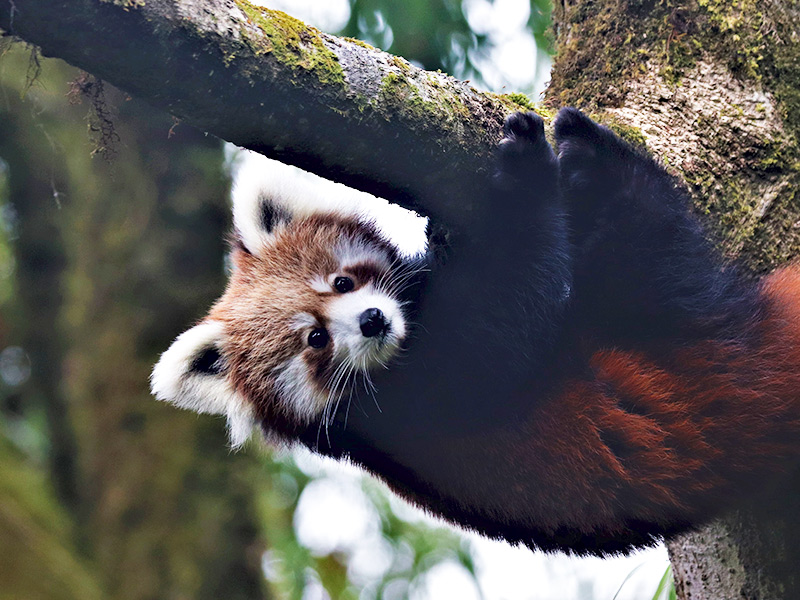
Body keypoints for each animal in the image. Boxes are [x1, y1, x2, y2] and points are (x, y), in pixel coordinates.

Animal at [150, 110, 800, 556]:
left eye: (341, 281)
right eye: (315, 341)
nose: (372, 321)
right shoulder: (421, 399)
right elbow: (510, 320)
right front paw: (525, 173)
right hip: (681, 331)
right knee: (650, 250)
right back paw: (596, 160)